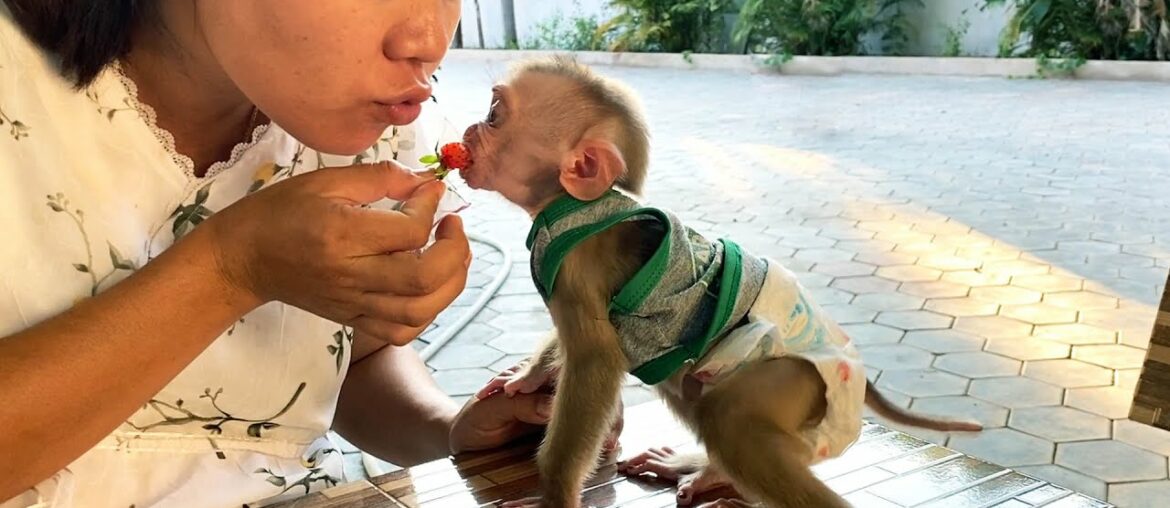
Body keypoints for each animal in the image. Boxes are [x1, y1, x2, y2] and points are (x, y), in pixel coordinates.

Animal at [458, 56, 981, 508]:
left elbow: (595, 360)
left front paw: (554, 493)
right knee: (689, 387)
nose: (466, 130)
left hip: (798, 379)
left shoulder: (577, 266)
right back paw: (711, 473)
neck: (571, 206)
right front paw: (526, 377)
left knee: (730, 421)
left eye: (494, 114)